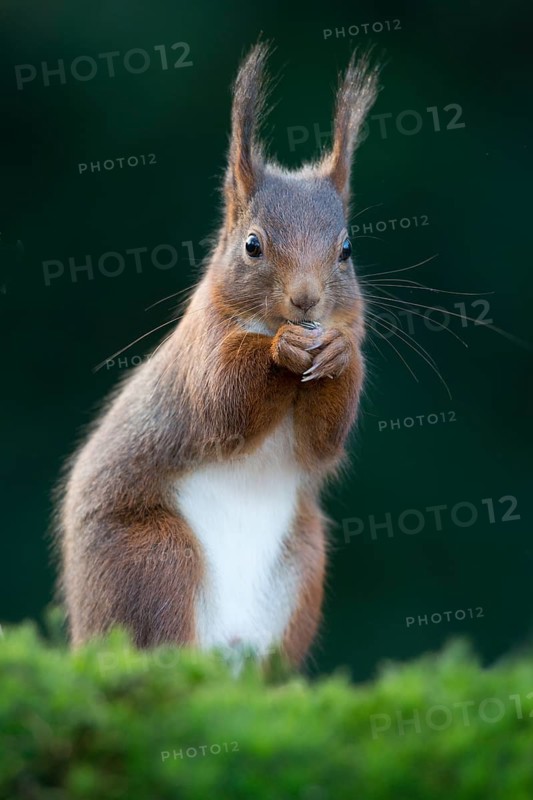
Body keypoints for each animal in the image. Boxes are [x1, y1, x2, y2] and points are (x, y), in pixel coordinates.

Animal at [56, 43, 379, 668]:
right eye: (252, 245)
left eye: (348, 249)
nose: (306, 300)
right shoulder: (200, 351)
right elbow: (223, 403)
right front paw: (280, 350)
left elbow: (322, 442)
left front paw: (337, 353)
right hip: (152, 557)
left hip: (303, 565)